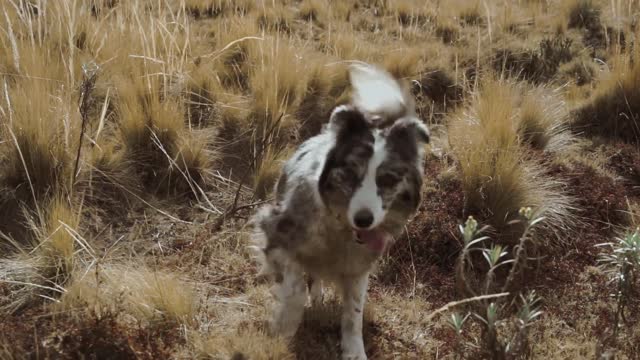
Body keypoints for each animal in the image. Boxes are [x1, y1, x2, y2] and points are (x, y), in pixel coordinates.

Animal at [250, 63, 430, 358]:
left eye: (388, 180)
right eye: (350, 174)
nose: (364, 220)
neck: (341, 229)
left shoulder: (358, 266)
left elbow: (353, 314)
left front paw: (353, 349)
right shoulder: (277, 235)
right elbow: (295, 288)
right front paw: (284, 328)